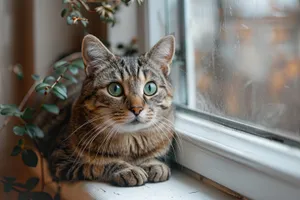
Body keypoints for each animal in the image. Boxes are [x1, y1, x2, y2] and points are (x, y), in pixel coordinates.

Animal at [46, 34, 177, 186]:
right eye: (115, 89)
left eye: (150, 88)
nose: (136, 108)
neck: (129, 144)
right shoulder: (61, 160)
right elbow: (99, 165)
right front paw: (127, 169)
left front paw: (152, 163)